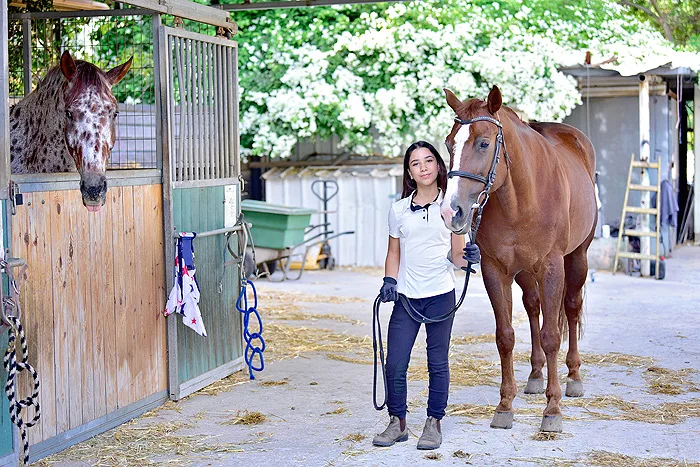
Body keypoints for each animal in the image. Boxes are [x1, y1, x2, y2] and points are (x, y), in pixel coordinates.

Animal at [440, 86, 592, 434]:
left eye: (484, 143)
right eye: (449, 143)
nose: (451, 211)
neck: (521, 199)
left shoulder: (552, 266)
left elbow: (552, 336)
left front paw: (553, 409)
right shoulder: (495, 269)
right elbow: (505, 336)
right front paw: (505, 406)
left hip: (577, 258)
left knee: (571, 307)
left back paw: (574, 377)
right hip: (525, 271)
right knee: (533, 306)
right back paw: (535, 375)